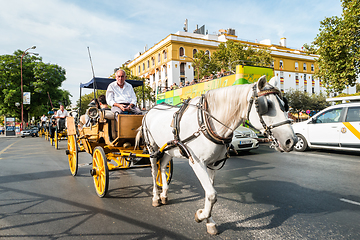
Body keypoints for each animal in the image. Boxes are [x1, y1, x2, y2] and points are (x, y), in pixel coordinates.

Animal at [136, 76, 296, 235]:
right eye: (266, 105)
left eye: (284, 105)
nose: (292, 141)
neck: (207, 122)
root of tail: (150, 110)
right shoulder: (197, 163)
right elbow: (212, 194)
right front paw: (201, 215)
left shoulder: (212, 163)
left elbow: (210, 194)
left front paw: (209, 221)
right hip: (152, 148)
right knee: (154, 171)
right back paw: (156, 197)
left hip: (169, 149)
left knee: (163, 167)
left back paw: (164, 194)